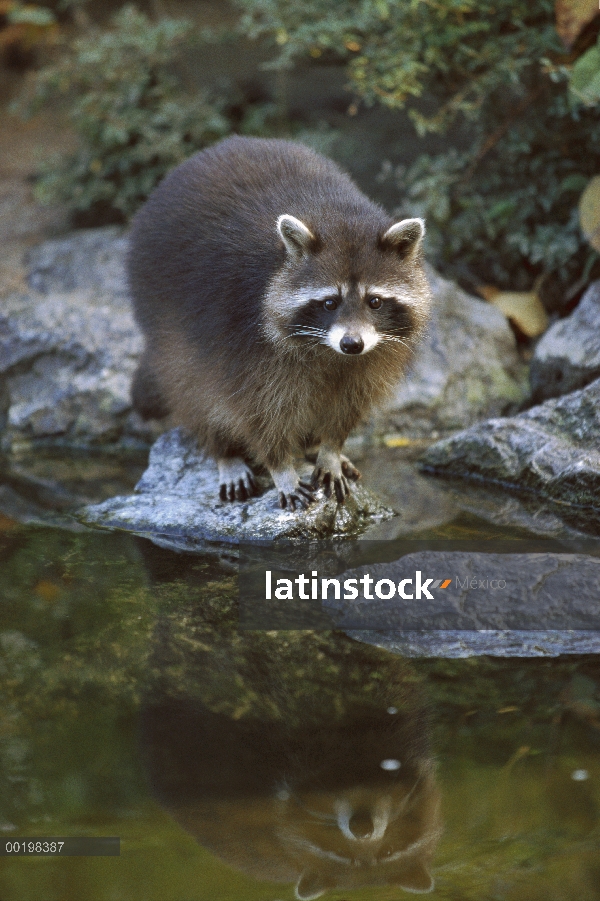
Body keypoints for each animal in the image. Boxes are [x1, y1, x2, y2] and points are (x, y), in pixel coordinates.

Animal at [129, 138, 432, 510]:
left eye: (374, 301)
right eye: (329, 303)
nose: (352, 344)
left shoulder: (376, 354)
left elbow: (349, 401)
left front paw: (331, 449)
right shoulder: (243, 335)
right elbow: (257, 409)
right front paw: (280, 467)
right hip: (161, 309)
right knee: (191, 384)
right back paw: (224, 451)